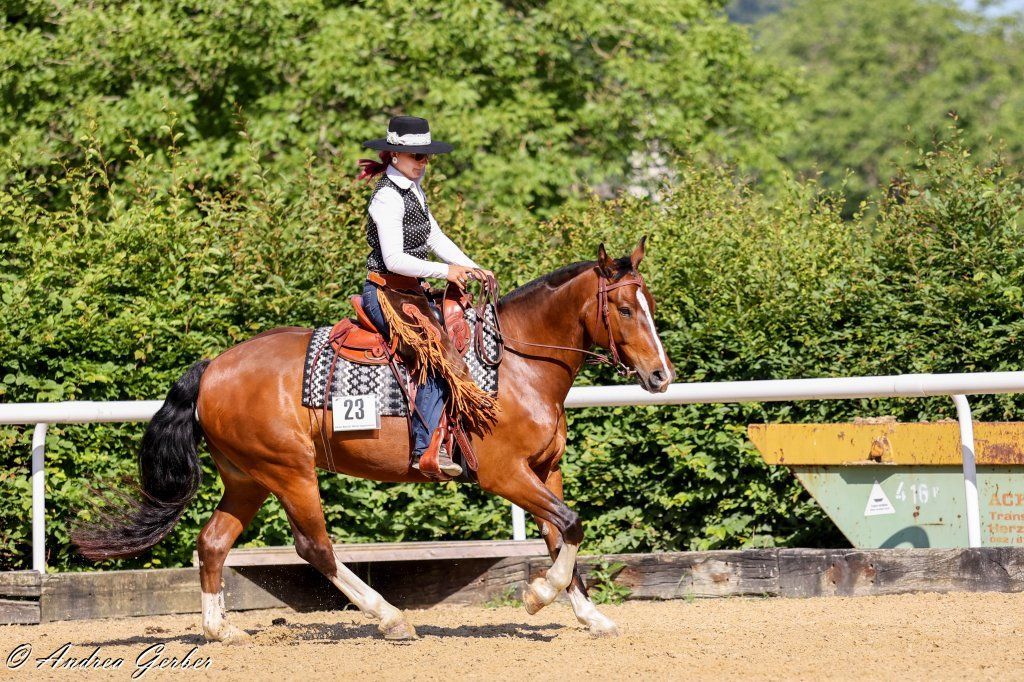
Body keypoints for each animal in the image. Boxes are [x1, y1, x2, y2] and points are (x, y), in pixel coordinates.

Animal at [73, 237, 675, 641]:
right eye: (625, 308)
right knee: (314, 547)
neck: (514, 368)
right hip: (290, 472)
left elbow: (561, 534)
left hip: (248, 478)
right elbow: (569, 525)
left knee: (213, 541)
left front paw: (591, 615)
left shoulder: (547, 470)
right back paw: (390, 617)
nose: (661, 376)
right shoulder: (505, 474)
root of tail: (212, 368)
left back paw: (222, 630)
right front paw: (537, 596)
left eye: (649, 304)